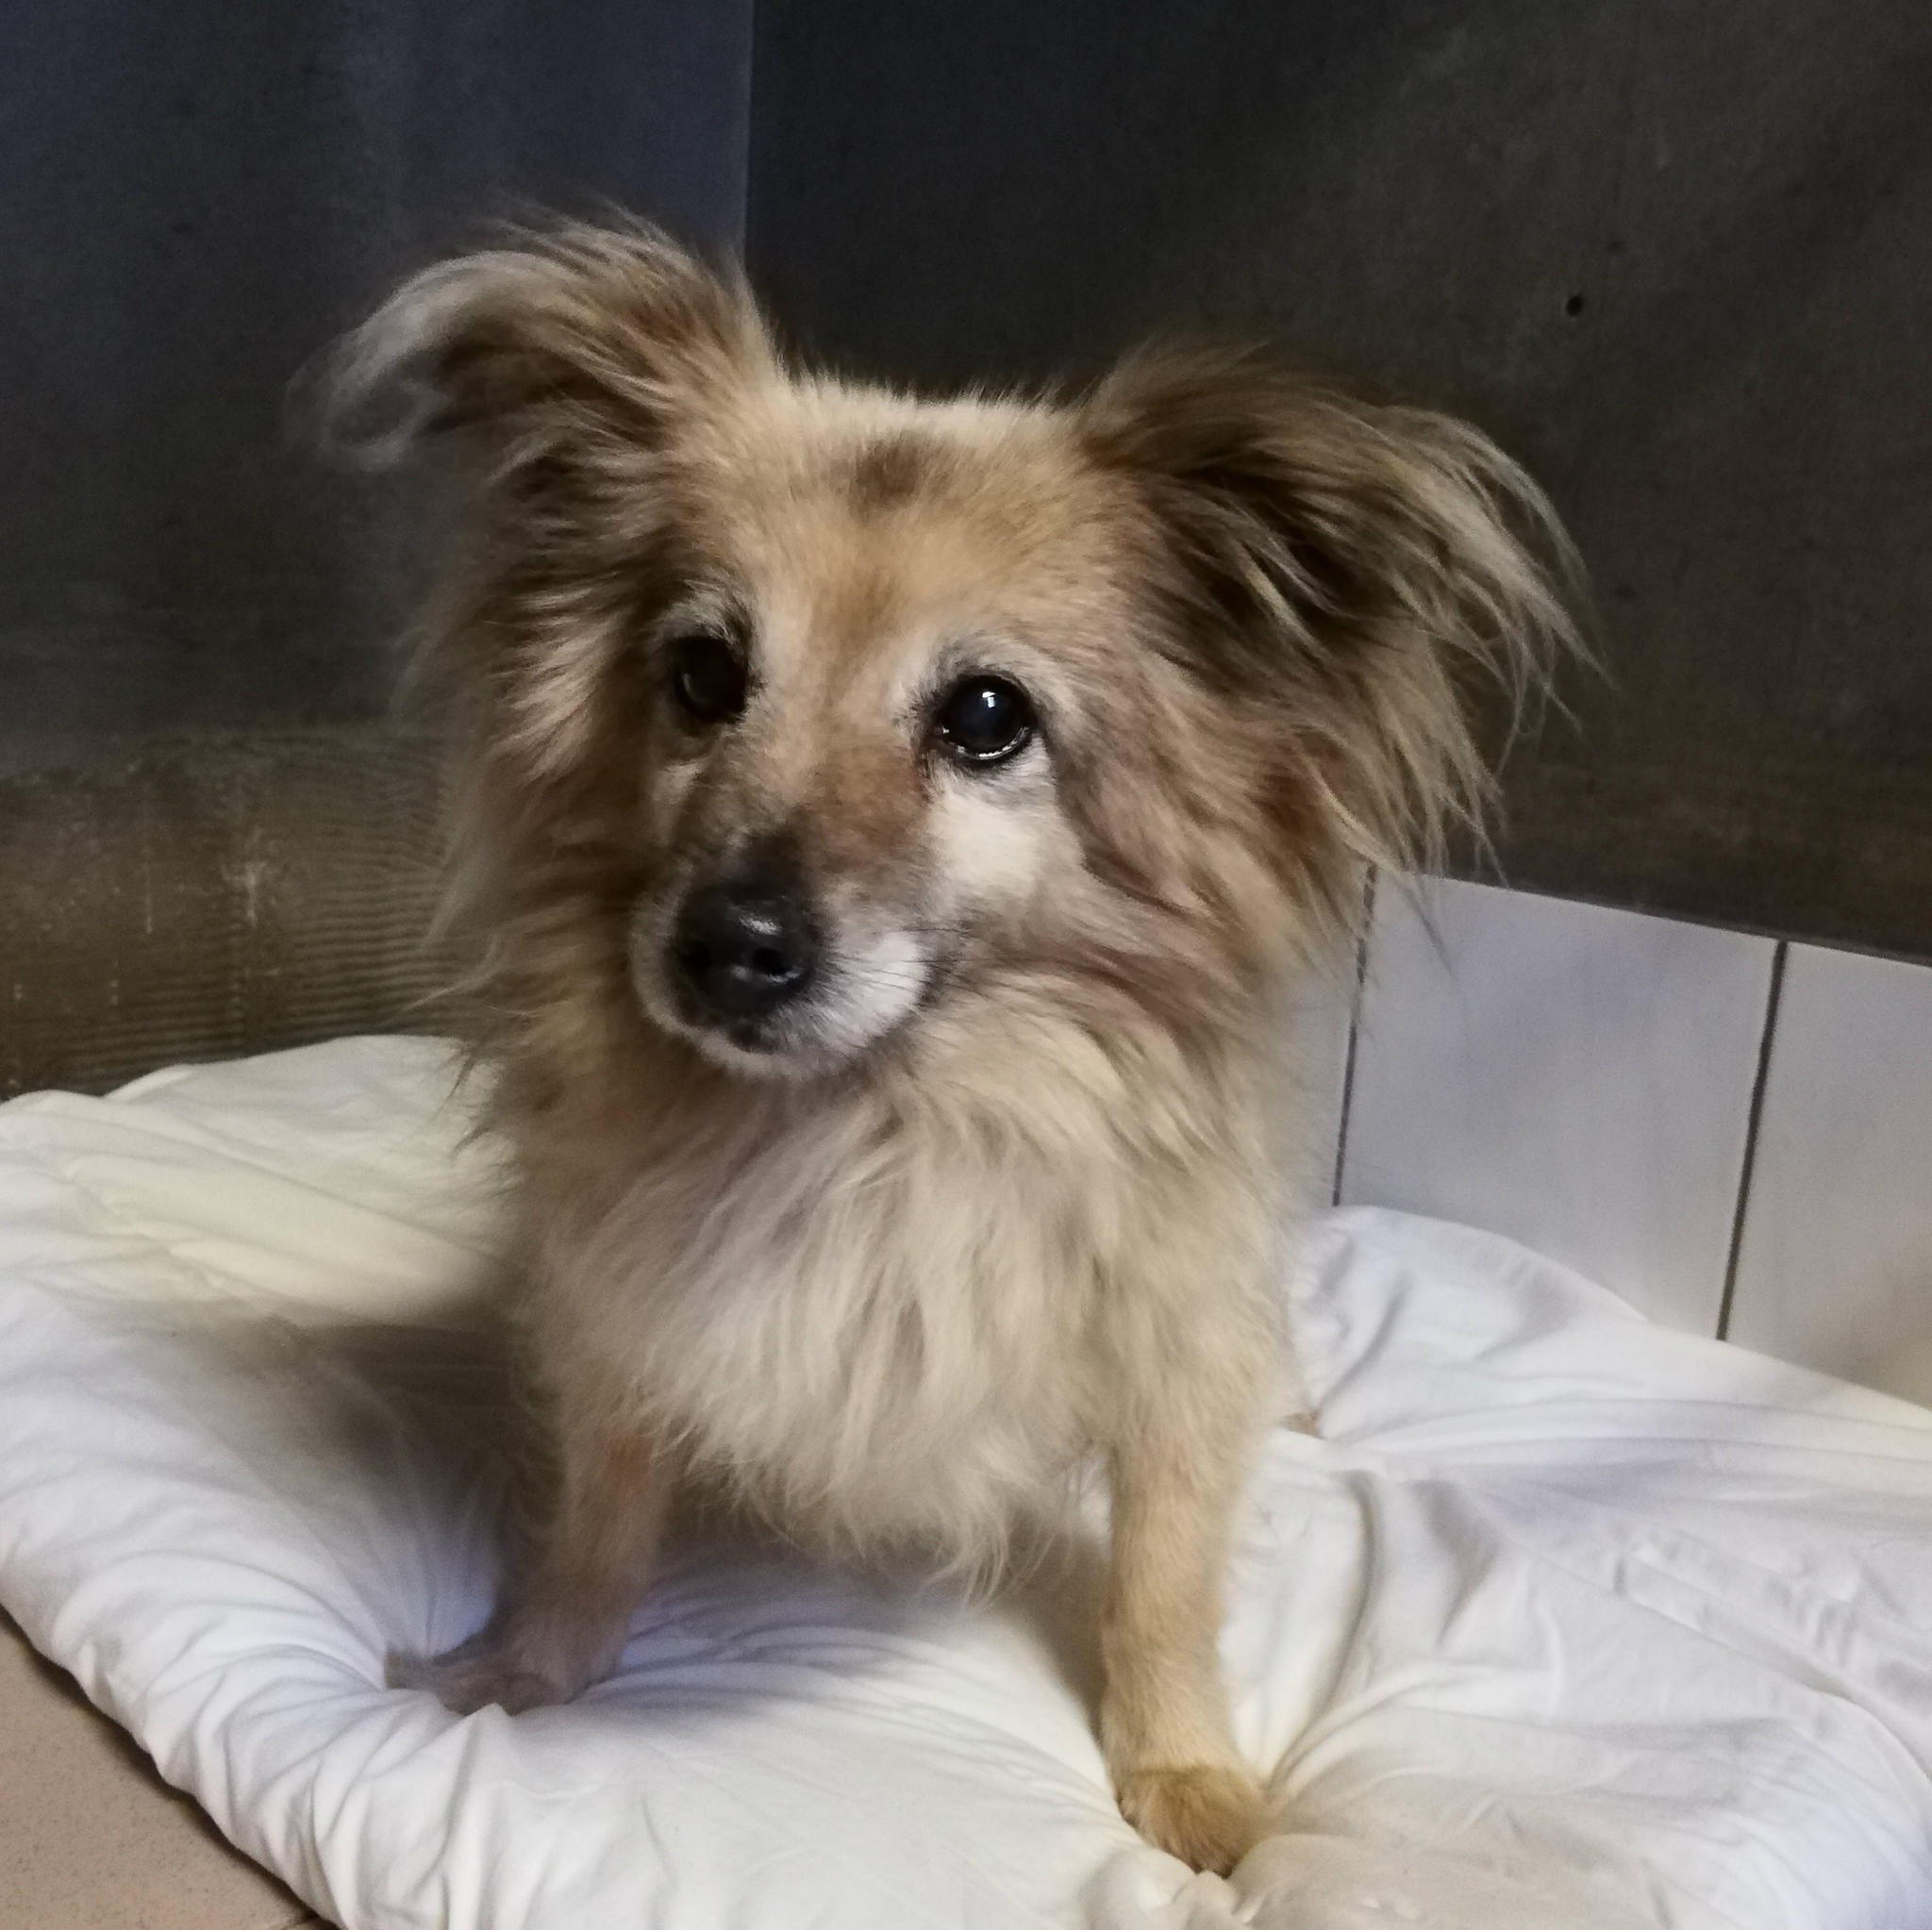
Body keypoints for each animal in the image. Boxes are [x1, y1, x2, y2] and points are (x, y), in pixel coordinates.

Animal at [332, 220, 1578, 1875]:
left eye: (987, 716)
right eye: (704, 675)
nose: (726, 944)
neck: (872, 1130)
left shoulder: (1176, 1347)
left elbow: (1165, 1583)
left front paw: (1189, 1775)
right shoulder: (618, 1317)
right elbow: (598, 1514)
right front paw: (533, 1666)